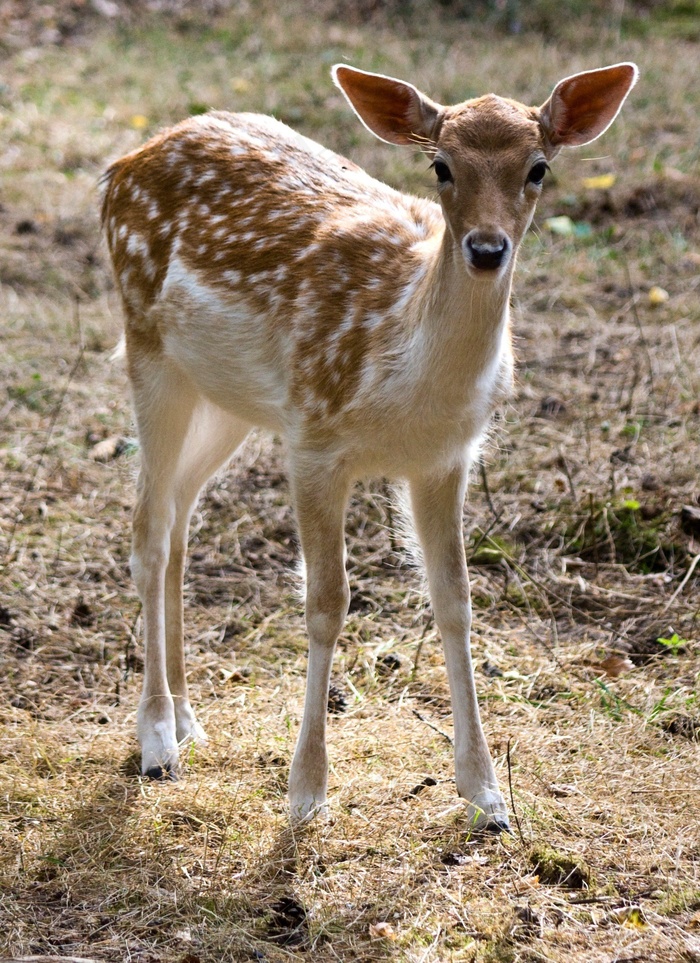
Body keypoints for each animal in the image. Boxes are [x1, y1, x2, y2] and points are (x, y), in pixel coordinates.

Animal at [101, 60, 636, 832]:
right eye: (441, 165)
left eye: (538, 168)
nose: (486, 249)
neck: (406, 377)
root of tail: (123, 164)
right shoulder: (314, 438)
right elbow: (327, 603)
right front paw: (305, 794)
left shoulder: (446, 457)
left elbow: (455, 600)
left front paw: (487, 794)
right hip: (147, 345)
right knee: (147, 528)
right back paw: (156, 741)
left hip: (229, 398)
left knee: (177, 519)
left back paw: (188, 718)